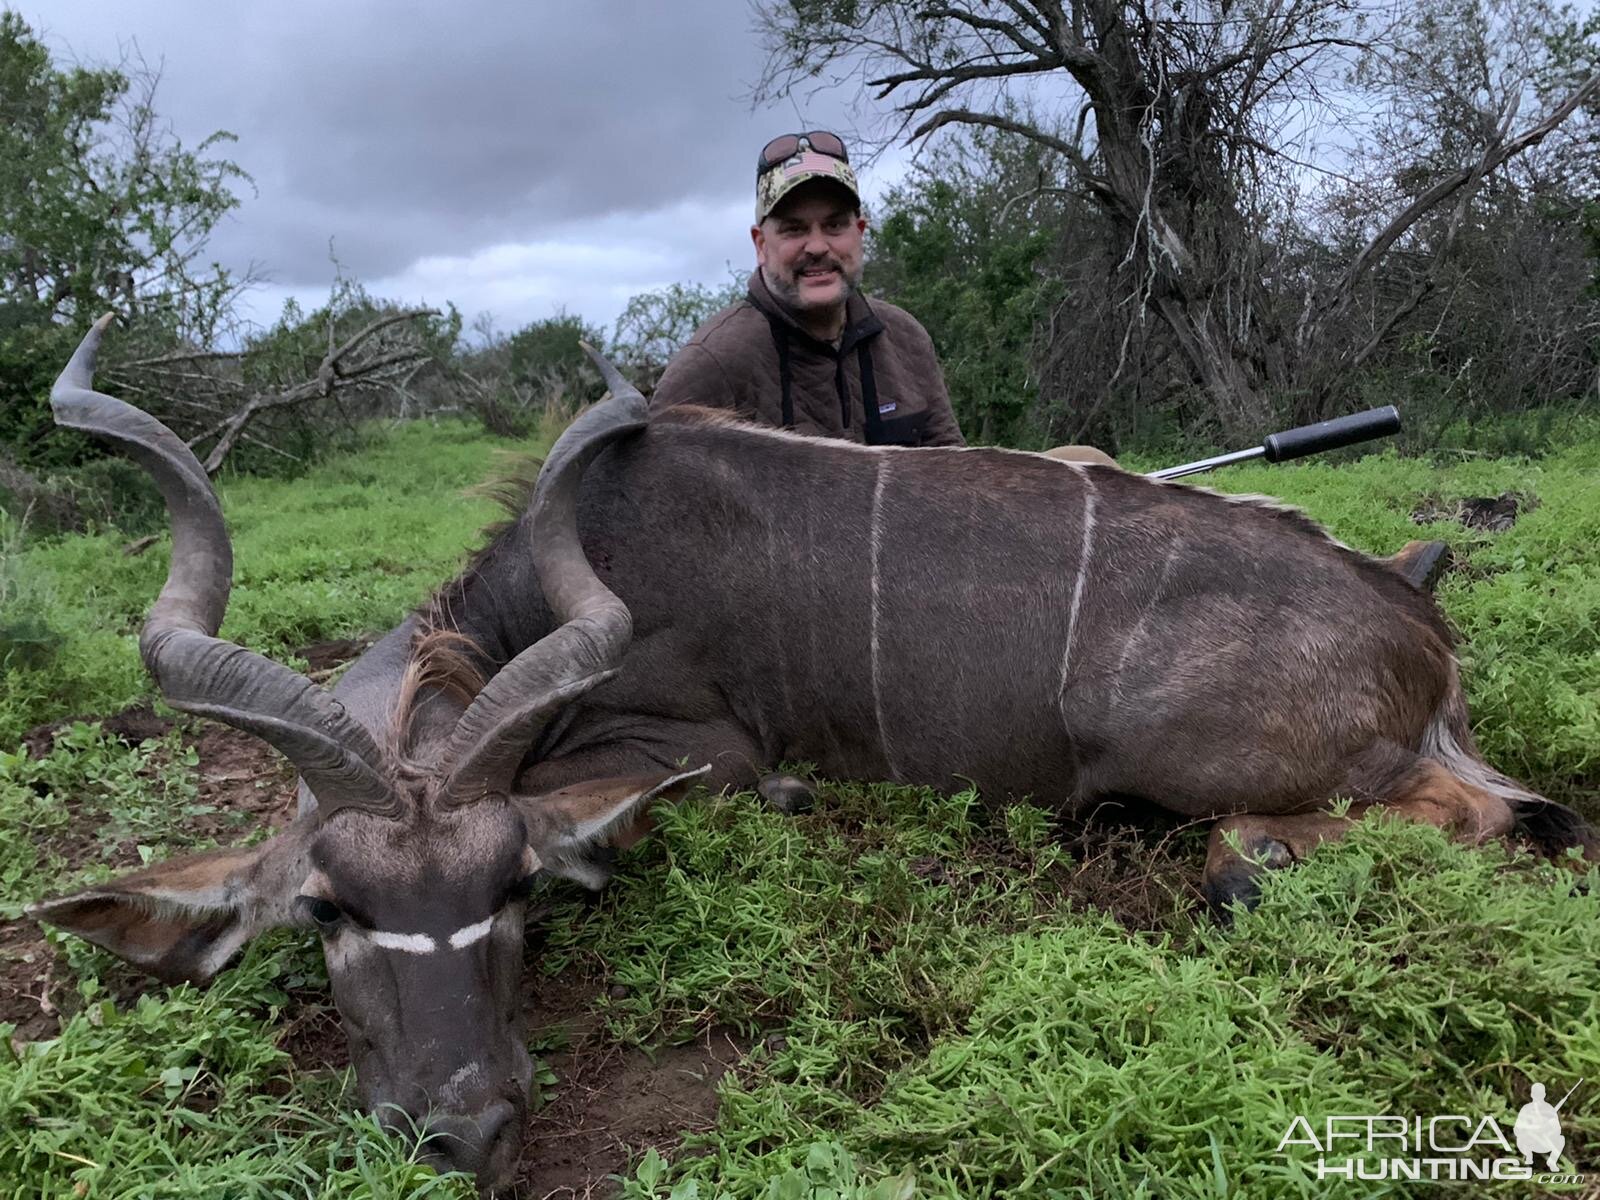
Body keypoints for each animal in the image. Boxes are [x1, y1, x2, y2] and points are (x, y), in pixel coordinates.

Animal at [25, 316, 1587, 1196]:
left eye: (513, 891)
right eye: (327, 911)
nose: (466, 1132)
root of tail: (1415, 616)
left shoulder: (705, 748)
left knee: (1446, 824)